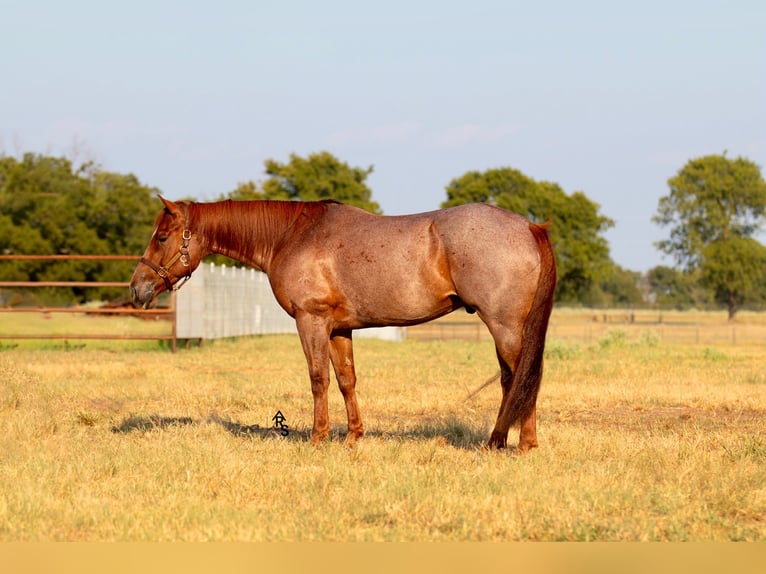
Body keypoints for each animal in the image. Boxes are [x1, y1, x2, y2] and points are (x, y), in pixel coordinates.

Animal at [129, 198, 556, 454]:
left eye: (162, 236)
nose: (137, 288)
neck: (292, 235)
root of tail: (531, 227)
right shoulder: (338, 329)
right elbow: (346, 379)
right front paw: (353, 436)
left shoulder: (312, 321)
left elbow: (318, 378)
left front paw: (317, 438)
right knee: (517, 380)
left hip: (503, 326)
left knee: (520, 379)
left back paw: (516, 443)